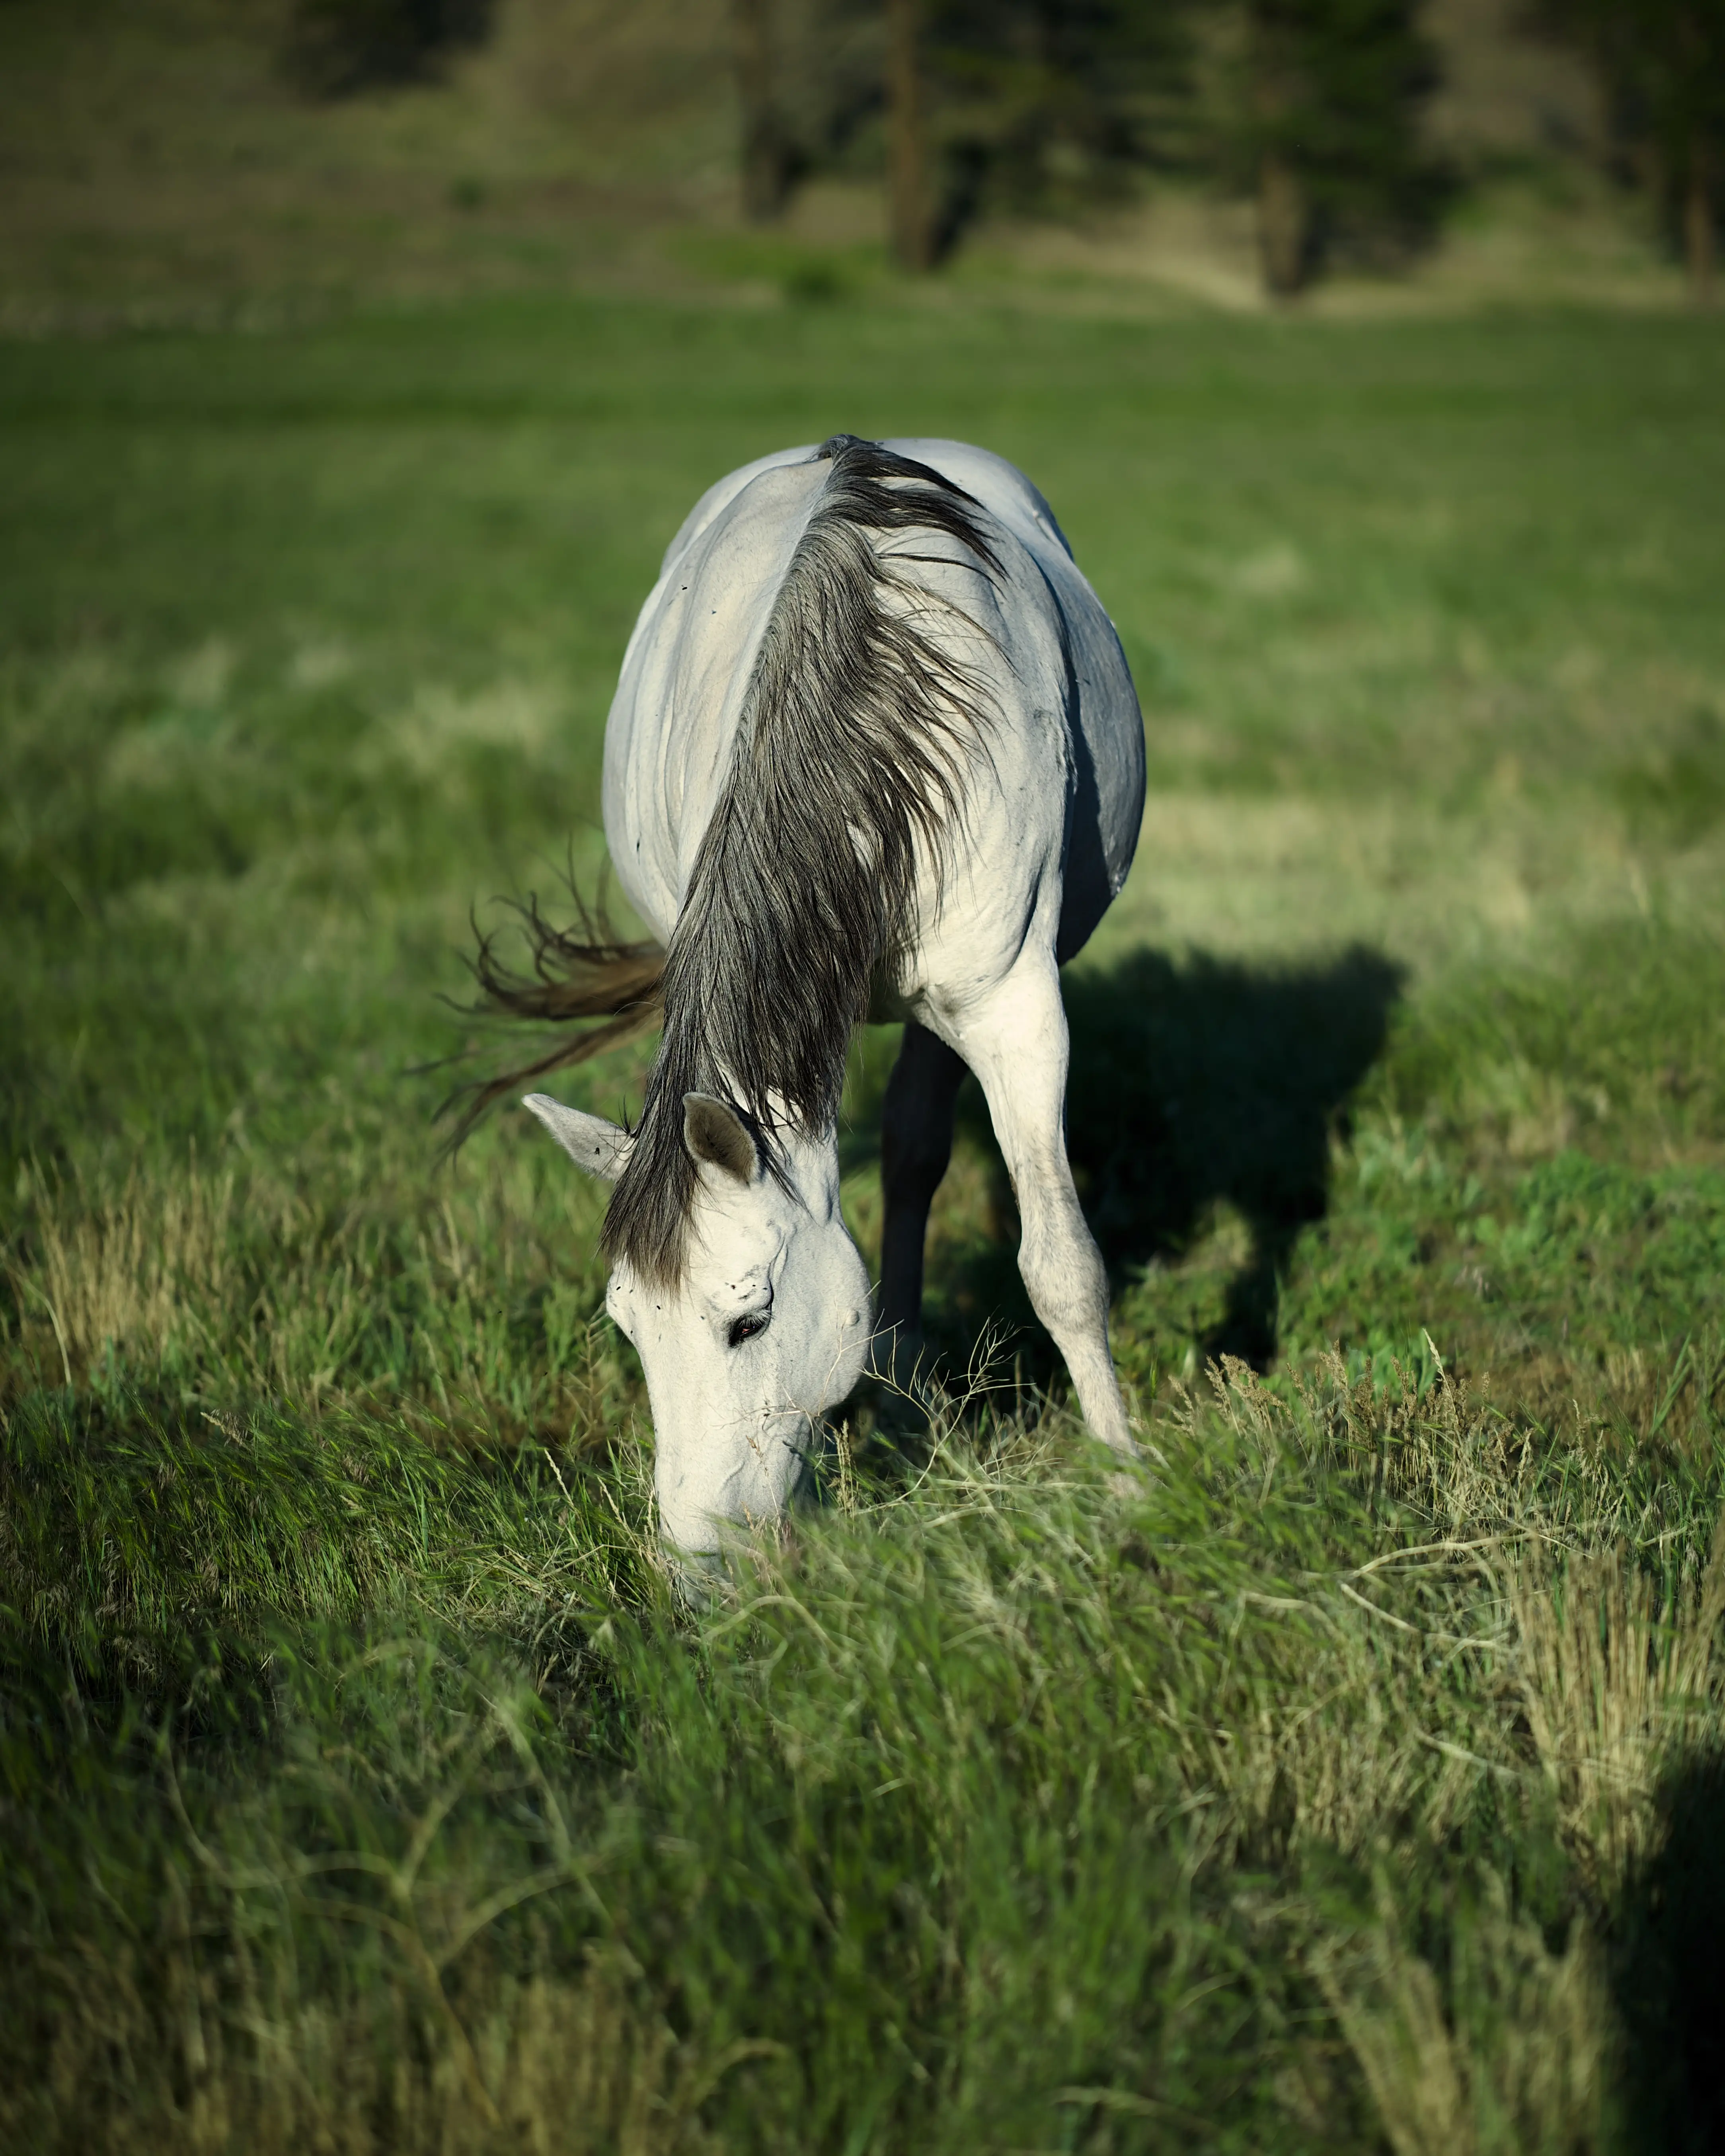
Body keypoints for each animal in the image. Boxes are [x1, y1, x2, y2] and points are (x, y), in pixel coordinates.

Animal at [475, 435, 1144, 1555]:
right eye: (628, 1329)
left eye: (747, 1320)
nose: (701, 1564)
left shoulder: (1011, 1006)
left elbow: (1061, 1264)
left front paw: (1131, 1478)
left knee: (918, 1156)